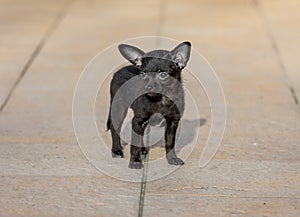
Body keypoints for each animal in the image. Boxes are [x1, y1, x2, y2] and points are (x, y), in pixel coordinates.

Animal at [106, 41, 191, 169]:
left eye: (163, 75)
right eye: (143, 74)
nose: (148, 87)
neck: (160, 99)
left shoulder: (172, 122)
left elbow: (170, 143)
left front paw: (172, 159)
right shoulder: (137, 120)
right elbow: (135, 143)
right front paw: (135, 161)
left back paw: (143, 150)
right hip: (118, 108)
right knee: (114, 127)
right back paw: (117, 150)